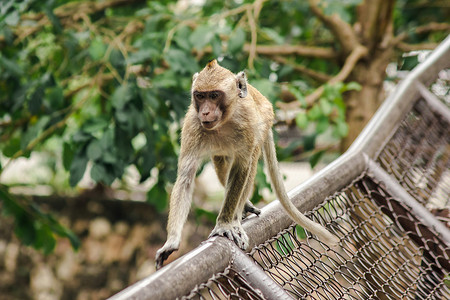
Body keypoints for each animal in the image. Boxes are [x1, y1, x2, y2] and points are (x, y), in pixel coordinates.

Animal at [156, 59, 340, 268]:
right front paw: (171, 241)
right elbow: (186, 178)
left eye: (214, 95)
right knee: (222, 164)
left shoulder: (247, 126)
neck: (224, 122)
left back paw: (236, 217)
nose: (205, 111)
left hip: (263, 124)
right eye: (200, 96)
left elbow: (242, 168)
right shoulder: (193, 126)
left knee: (249, 165)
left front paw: (225, 223)